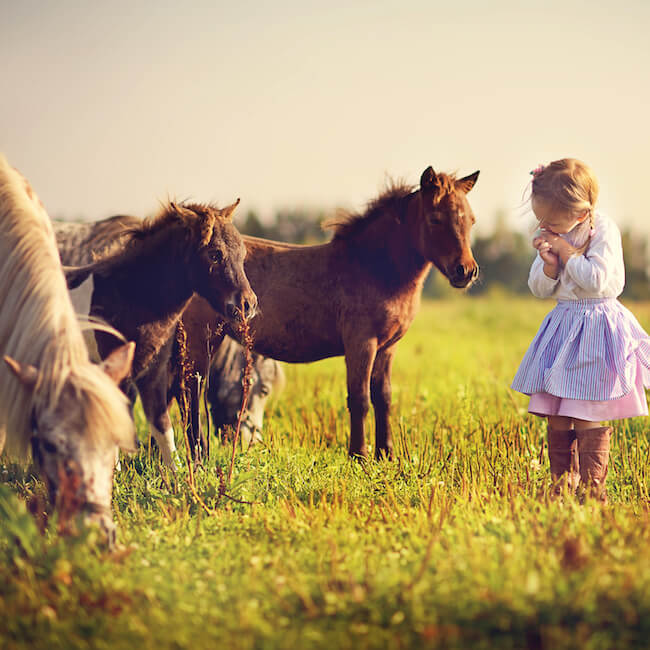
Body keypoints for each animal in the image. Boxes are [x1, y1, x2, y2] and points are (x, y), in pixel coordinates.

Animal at [140, 167, 476, 460]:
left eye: (471, 220)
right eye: (435, 219)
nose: (466, 271)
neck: (372, 267)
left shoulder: (387, 348)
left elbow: (384, 398)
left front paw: (386, 455)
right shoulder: (361, 344)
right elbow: (360, 399)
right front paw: (359, 457)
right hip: (200, 340)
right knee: (188, 391)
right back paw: (197, 457)